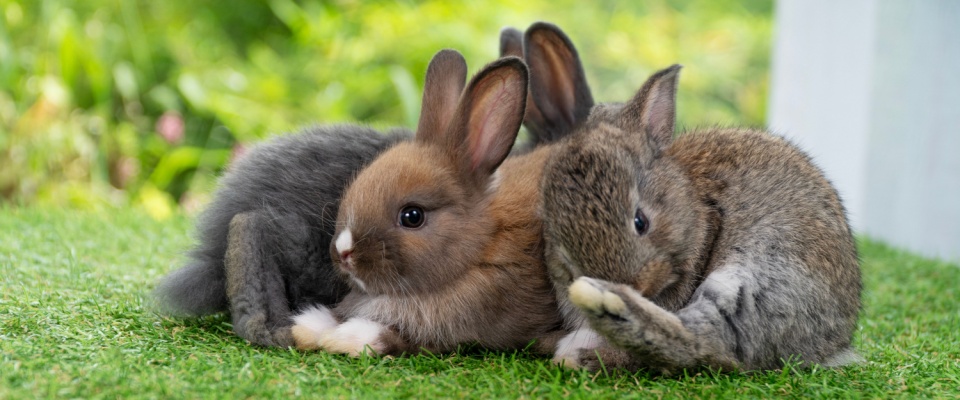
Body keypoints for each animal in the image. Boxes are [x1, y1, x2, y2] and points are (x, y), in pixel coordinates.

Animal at [288, 50, 567, 357]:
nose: (343, 251)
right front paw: (309, 326)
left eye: (412, 216)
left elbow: (399, 337)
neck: (482, 248)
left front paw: (344, 337)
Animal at [538, 64, 863, 374]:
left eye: (640, 221)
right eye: (562, 248)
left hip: (760, 278)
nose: (633, 286)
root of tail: (832, 343)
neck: (693, 206)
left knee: (704, 347)